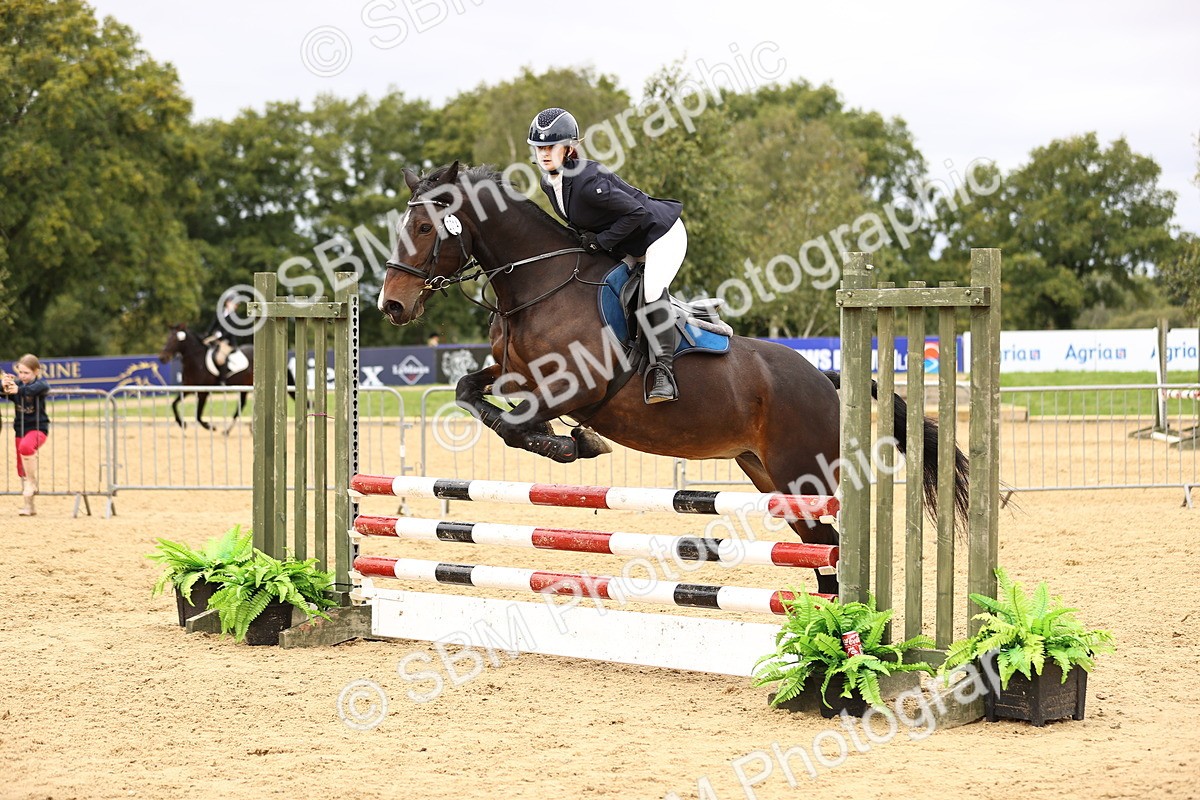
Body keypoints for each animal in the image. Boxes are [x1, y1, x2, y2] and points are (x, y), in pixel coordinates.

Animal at [378, 162, 969, 595]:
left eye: (426, 228)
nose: (392, 305)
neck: (539, 284)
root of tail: (828, 380)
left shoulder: (580, 386)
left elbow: (516, 424)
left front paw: (574, 444)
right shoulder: (514, 373)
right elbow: (471, 394)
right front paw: (564, 439)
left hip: (807, 476)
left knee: (835, 548)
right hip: (772, 479)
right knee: (820, 553)